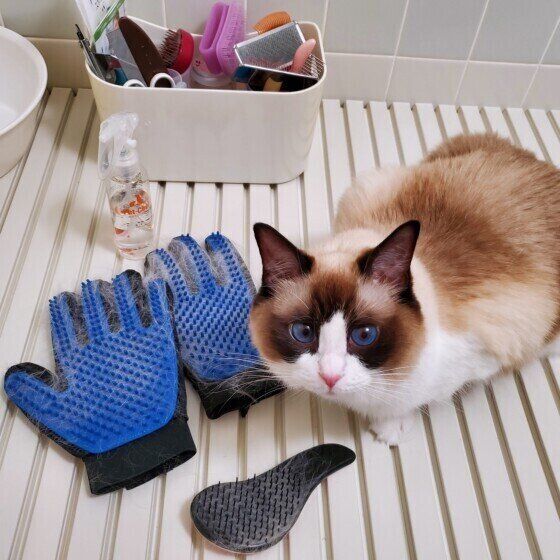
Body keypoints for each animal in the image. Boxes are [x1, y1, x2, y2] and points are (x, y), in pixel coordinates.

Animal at [249, 133, 560, 445]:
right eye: (303, 332)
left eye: (364, 335)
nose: (330, 377)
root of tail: (534, 160)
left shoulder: (491, 348)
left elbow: (407, 402)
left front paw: (388, 429)